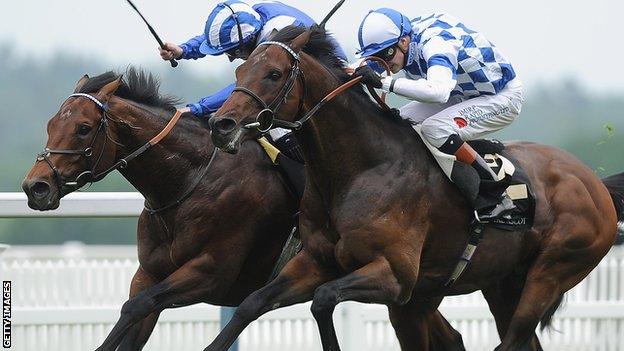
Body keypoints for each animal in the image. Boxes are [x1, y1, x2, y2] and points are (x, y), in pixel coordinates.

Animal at [19, 69, 302, 351]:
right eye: (51, 124)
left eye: (83, 128)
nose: (36, 187)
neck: (190, 182)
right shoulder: (149, 273)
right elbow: (135, 313)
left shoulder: (211, 272)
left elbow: (136, 306)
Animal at [206, 27, 624, 351]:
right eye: (241, 69)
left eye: (274, 74)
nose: (221, 125)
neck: (359, 169)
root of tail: (595, 184)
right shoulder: (316, 262)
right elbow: (252, 303)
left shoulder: (396, 277)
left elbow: (323, 300)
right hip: (504, 283)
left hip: (550, 274)